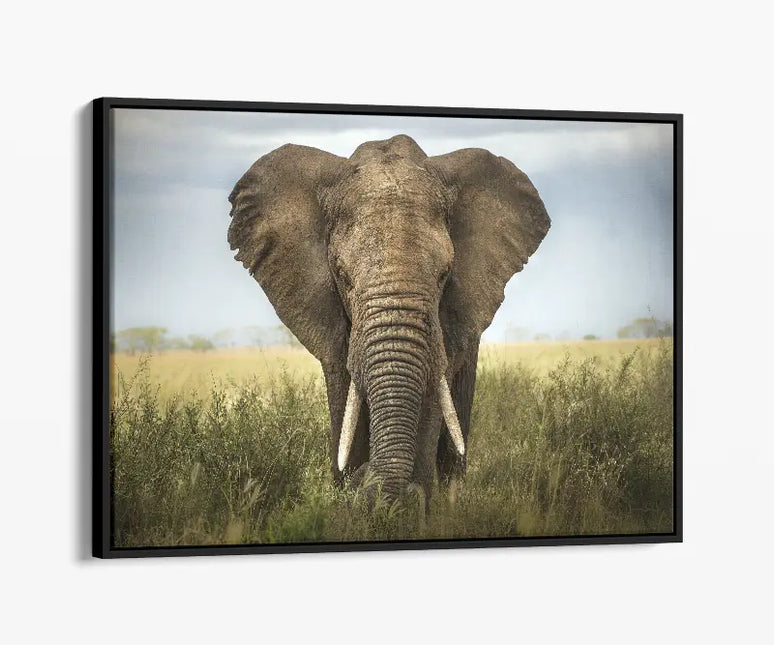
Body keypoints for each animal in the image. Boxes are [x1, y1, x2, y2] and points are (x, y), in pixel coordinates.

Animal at [227, 134, 550, 503]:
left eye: (444, 274)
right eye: (342, 276)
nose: (365, 480)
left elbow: (431, 396)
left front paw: (410, 503)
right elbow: (345, 396)